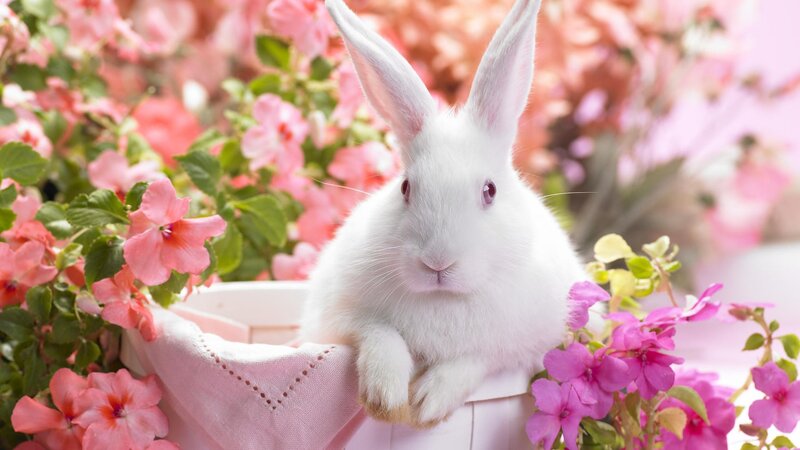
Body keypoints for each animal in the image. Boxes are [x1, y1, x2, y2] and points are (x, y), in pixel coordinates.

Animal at [299, 0, 587, 428]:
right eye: (405, 188)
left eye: (489, 191)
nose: (437, 262)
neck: (443, 298)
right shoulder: (337, 317)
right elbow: (378, 333)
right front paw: (386, 397)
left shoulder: (525, 344)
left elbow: (476, 358)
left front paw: (427, 402)